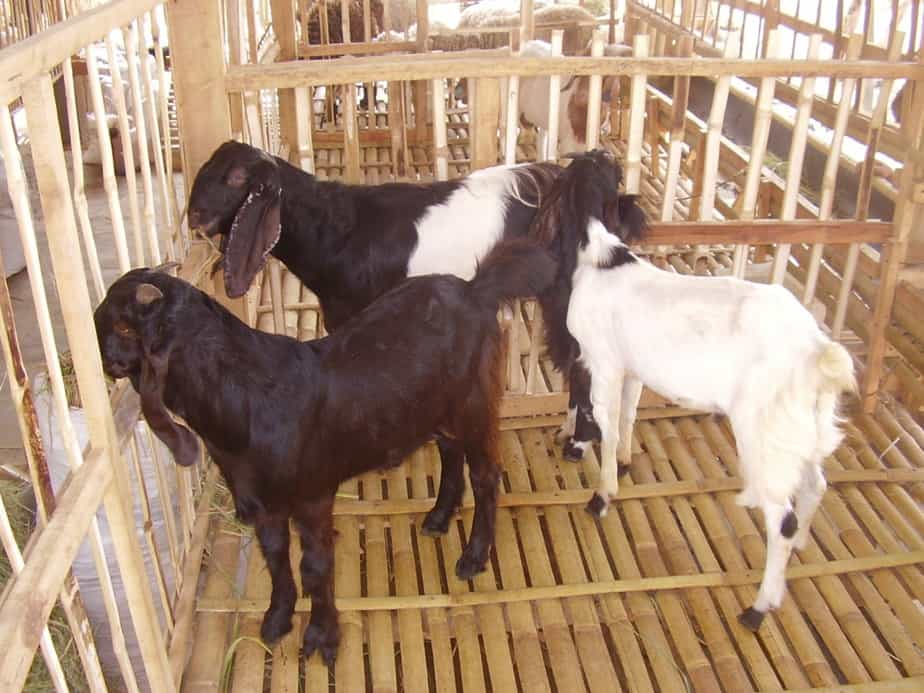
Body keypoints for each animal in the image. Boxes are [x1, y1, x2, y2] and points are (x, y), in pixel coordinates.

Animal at [94, 240, 557, 665]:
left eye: (124, 328)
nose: (103, 365)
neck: (245, 398)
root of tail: (475, 290)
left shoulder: (313, 495)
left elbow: (315, 566)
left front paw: (322, 637)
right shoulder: (263, 503)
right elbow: (275, 557)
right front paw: (277, 619)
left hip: (475, 402)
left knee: (486, 473)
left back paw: (474, 556)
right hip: (435, 407)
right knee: (449, 450)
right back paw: (439, 517)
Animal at [534, 150, 856, 630]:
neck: (606, 256)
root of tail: (815, 351)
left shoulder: (603, 361)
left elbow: (605, 422)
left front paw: (602, 495)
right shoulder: (633, 368)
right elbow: (628, 414)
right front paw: (625, 462)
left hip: (764, 435)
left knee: (781, 518)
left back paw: (758, 608)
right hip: (802, 432)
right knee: (816, 484)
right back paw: (797, 551)